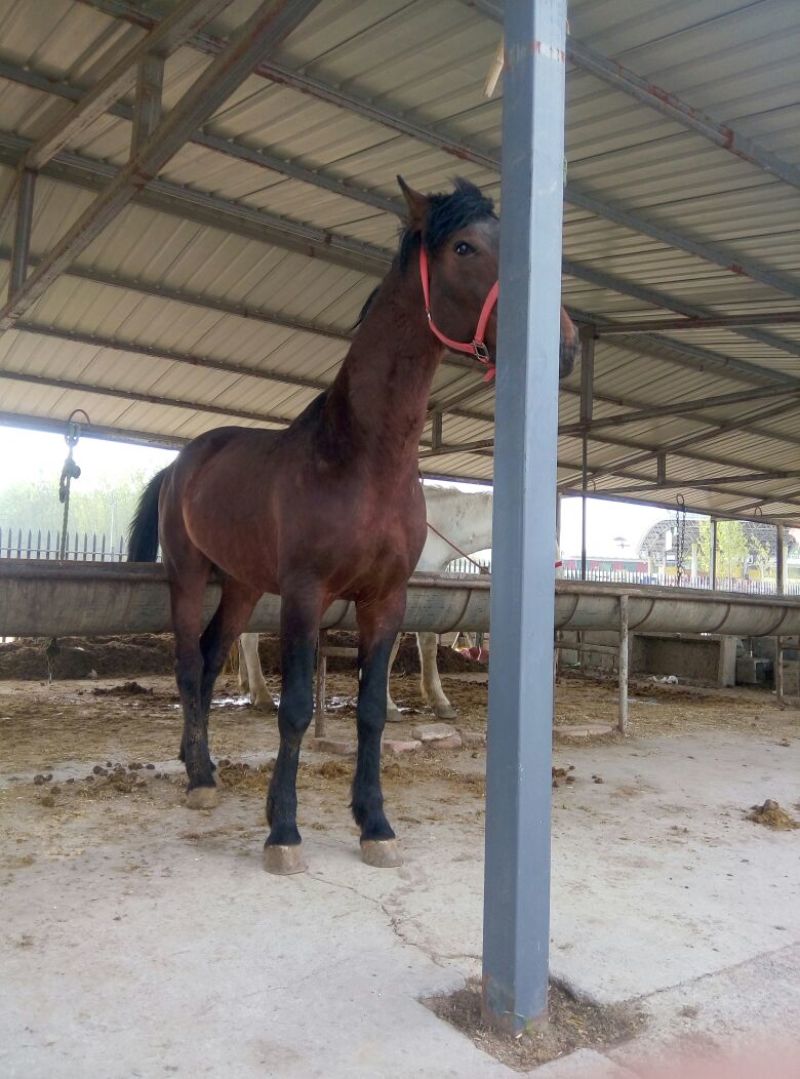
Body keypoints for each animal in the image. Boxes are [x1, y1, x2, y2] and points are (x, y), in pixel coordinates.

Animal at [128, 175, 577, 874]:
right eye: (464, 247)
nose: (564, 346)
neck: (365, 459)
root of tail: (182, 463)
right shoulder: (306, 595)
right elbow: (295, 709)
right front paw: (283, 832)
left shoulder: (385, 599)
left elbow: (371, 710)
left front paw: (375, 825)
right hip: (188, 575)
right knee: (185, 663)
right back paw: (199, 780)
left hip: (243, 586)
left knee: (208, 662)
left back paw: (201, 767)